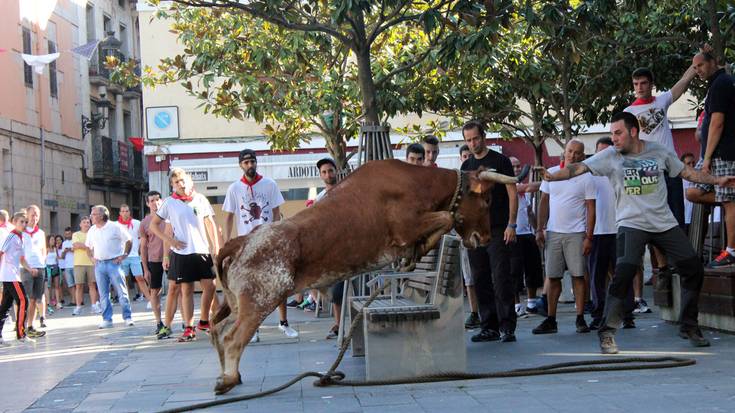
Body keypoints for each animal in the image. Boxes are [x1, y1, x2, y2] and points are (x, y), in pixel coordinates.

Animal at [208, 158, 516, 392]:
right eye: (487, 199)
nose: (486, 238)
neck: (418, 182)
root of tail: (243, 240)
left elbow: (445, 220)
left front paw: (415, 253)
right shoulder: (406, 226)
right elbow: (447, 217)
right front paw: (418, 248)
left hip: (241, 302)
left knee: (218, 330)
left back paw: (228, 375)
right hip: (262, 298)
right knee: (232, 337)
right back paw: (228, 379)